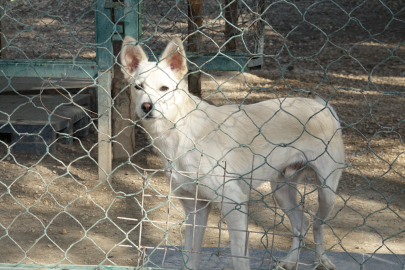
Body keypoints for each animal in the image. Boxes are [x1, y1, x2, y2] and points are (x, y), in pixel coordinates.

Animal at [120, 36, 344, 270]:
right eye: (138, 86)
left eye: (164, 88)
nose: (147, 106)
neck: (181, 134)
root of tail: (321, 105)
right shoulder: (195, 209)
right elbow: (190, 256)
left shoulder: (234, 204)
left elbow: (239, 258)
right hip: (281, 191)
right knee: (302, 223)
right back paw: (291, 261)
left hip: (326, 193)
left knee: (317, 224)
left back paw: (322, 260)